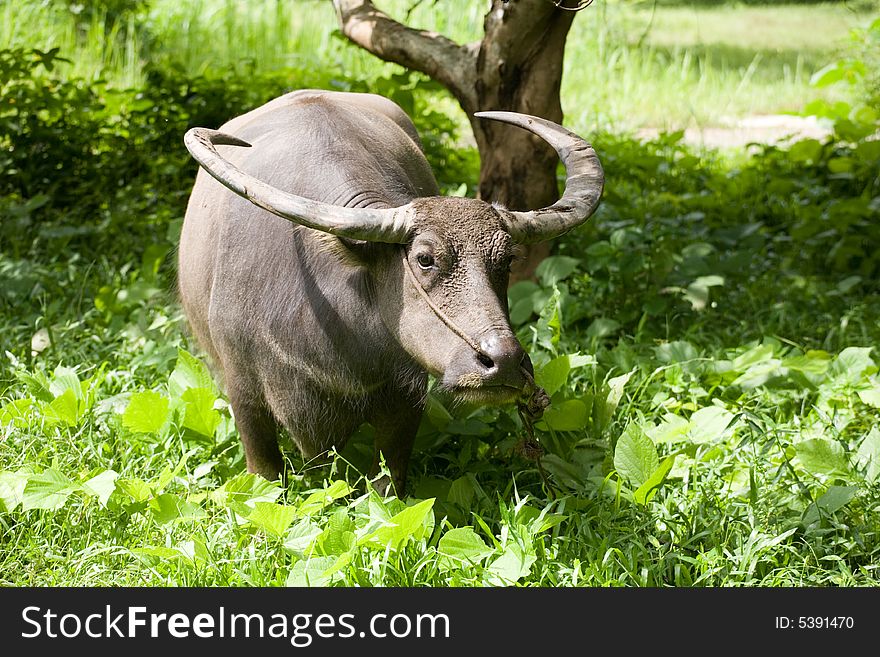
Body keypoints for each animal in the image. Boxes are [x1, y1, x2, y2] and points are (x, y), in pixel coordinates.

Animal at [180, 89, 604, 494]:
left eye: (507, 260)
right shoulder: (243, 392)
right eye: (424, 259)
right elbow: (265, 474)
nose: (504, 362)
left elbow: (386, 483)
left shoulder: (405, 397)